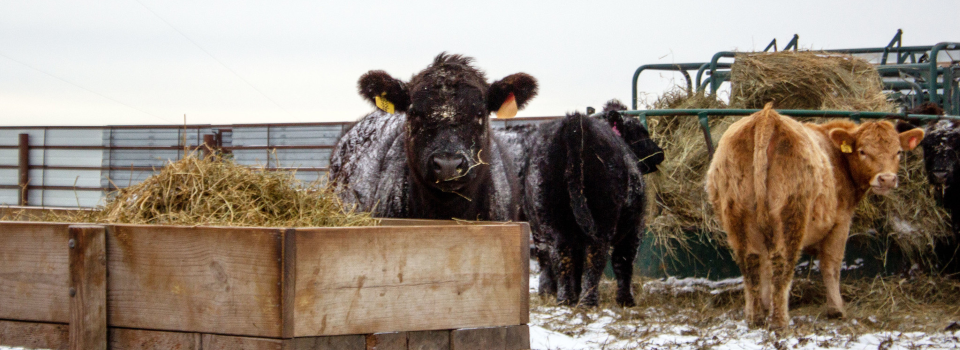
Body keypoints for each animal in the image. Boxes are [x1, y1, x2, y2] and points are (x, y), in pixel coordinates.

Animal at [704, 104, 924, 328]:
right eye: (862, 151)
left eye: (898, 152)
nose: (887, 179)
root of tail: (767, 116)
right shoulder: (841, 222)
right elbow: (831, 265)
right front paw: (836, 309)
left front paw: (764, 306)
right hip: (791, 215)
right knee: (782, 263)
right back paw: (780, 321)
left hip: (737, 214)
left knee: (750, 261)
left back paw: (754, 317)